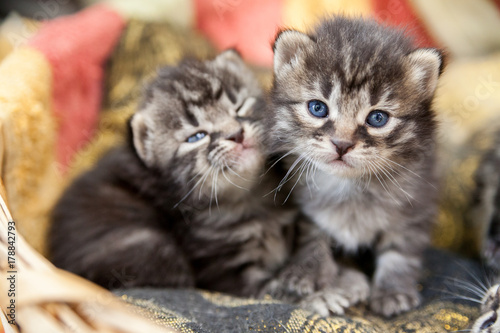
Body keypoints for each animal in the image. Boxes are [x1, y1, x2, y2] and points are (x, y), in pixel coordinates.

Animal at [48, 51, 296, 296]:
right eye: (196, 137)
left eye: (240, 107)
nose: (236, 134)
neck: (249, 197)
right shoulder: (224, 269)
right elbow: (263, 291)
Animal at [266, 16, 446, 316]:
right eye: (317, 108)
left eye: (377, 118)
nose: (341, 144)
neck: (352, 188)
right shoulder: (305, 206)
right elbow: (313, 235)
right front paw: (306, 273)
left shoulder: (416, 202)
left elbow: (401, 251)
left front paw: (393, 291)